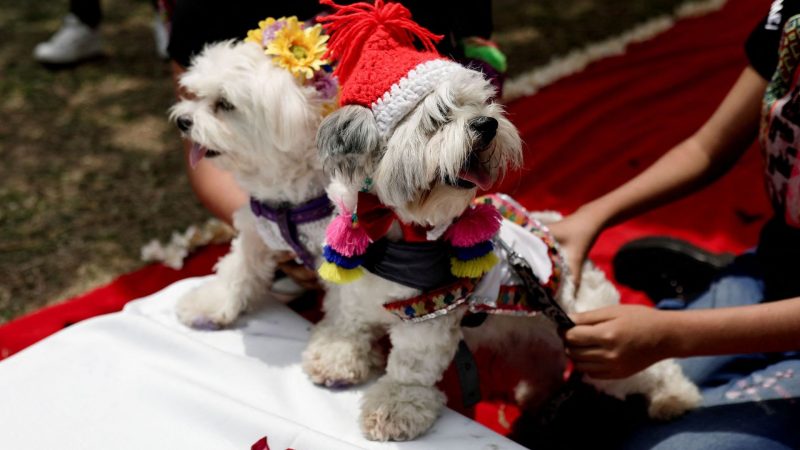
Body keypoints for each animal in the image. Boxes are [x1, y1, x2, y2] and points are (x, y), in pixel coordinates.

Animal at [170, 15, 340, 328]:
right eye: (196, 95)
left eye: (224, 104)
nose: (183, 121)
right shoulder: (257, 230)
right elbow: (239, 267)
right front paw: (211, 302)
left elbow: (347, 307)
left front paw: (335, 341)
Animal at [302, 0, 700, 442]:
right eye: (439, 116)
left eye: (484, 105)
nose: (487, 124)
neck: (391, 227)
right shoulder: (350, 289)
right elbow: (346, 320)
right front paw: (336, 355)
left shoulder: (427, 313)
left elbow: (412, 368)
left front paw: (395, 406)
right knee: (545, 367)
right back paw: (537, 399)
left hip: (593, 336)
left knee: (650, 368)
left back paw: (675, 397)